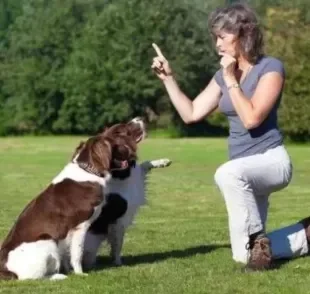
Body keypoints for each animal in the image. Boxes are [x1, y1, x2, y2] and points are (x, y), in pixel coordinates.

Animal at [0, 132, 136, 280]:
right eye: (115, 143)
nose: (131, 151)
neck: (88, 171)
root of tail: (4, 269)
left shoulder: (67, 232)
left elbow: (67, 253)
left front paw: (69, 270)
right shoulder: (81, 226)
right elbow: (77, 253)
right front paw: (80, 273)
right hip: (47, 241)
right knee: (34, 277)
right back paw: (58, 276)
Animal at [81, 118, 171, 270]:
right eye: (124, 128)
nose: (140, 118)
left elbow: (144, 165)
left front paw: (163, 162)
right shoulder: (118, 221)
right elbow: (118, 244)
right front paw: (117, 262)